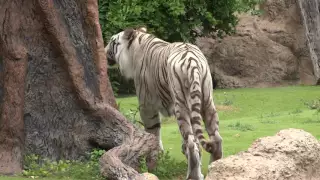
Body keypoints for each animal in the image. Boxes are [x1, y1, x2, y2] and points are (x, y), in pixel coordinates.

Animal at [105, 27, 222, 180]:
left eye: (112, 41)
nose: (104, 50)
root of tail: (192, 61)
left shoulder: (146, 105)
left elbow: (153, 132)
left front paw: (154, 158)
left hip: (181, 105)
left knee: (192, 143)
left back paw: (193, 175)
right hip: (207, 100)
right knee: (216, 138)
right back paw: (216, 166)